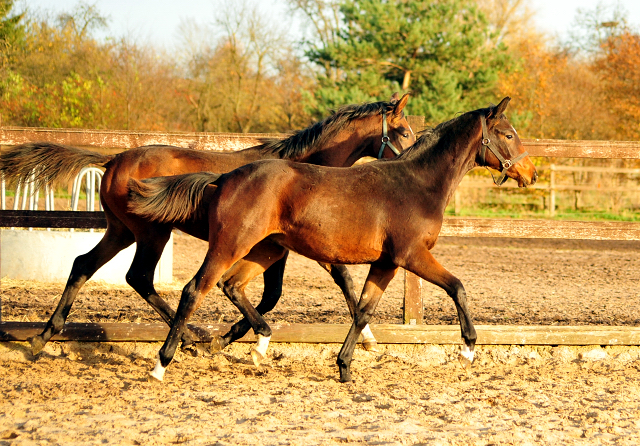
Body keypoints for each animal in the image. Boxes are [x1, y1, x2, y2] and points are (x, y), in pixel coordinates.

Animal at [0, 93, 416, 356]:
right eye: (403, 131)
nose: (411, 159)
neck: (304, 170)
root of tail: (113, 158)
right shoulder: (301, 246)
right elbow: (326, 284)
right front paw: (369, 339)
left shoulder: (277, 248)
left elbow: (271, 293)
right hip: (151, 232)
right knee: (140, 277)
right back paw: (187, 339)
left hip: (120, 231)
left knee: (83, 265)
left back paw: (42, 338)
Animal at [130, 96, 540, 382]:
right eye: (507, 134)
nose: (531, 173)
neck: (417, 183)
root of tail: (224, 178)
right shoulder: (412, 256)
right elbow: (457, 287)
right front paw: (468, 349)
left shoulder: (386, 263)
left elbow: (362, 310)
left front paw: (344, 366)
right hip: (229, 244)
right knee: (193, 290)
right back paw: (162, 364)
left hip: (265, 250)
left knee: (231, 285)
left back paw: (253, 344)